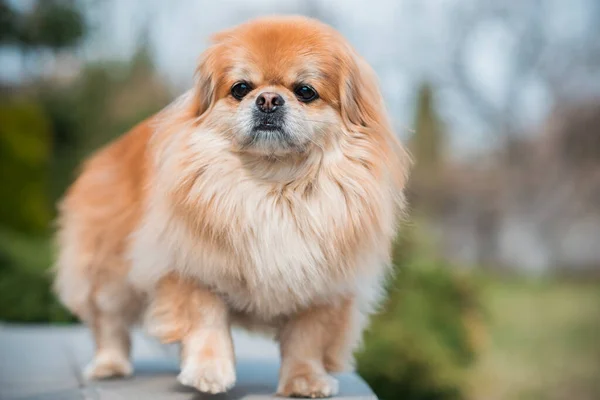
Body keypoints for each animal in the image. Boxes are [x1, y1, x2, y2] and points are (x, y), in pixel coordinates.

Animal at [54, 14, 410, 396]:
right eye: (241, 88)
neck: (273, 186)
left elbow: (307, 339)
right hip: (109, 273)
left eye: (305, 91)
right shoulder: (192, 268)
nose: (268, 99)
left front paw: (304, 380)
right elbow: (206, 323)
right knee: (109, 322)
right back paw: (110, 365)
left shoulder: (323, 289)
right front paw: (208, 372)